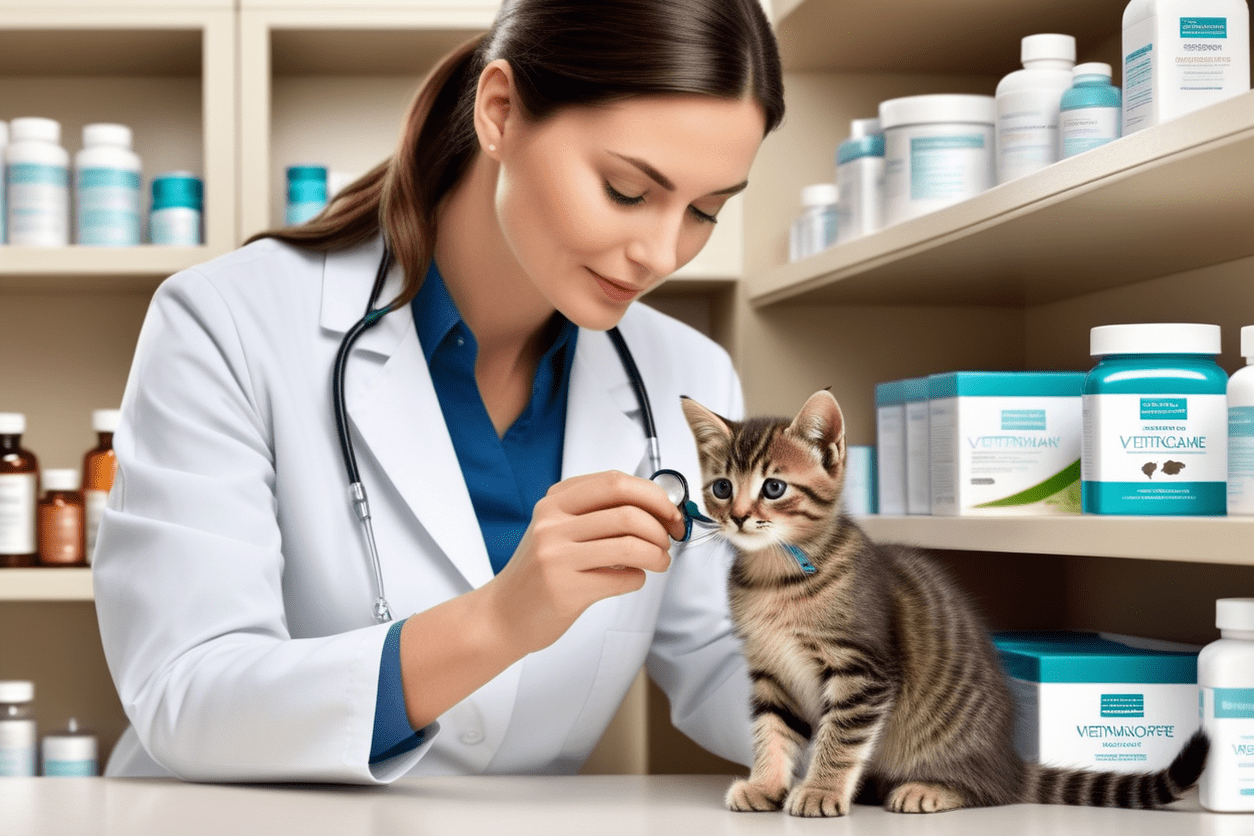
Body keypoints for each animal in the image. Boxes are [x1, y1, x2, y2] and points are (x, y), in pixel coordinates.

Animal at [682, 391, 1208, 817]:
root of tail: (1008, 761)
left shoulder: (864, 670)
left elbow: (841, 738)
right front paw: (766, 783)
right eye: (722, 487)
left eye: (773, 487)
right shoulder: (771, 671)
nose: (738, 517)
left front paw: (821, 790)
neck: (775, 578)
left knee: (993, 793)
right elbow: (771, 731)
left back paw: (929, 790)